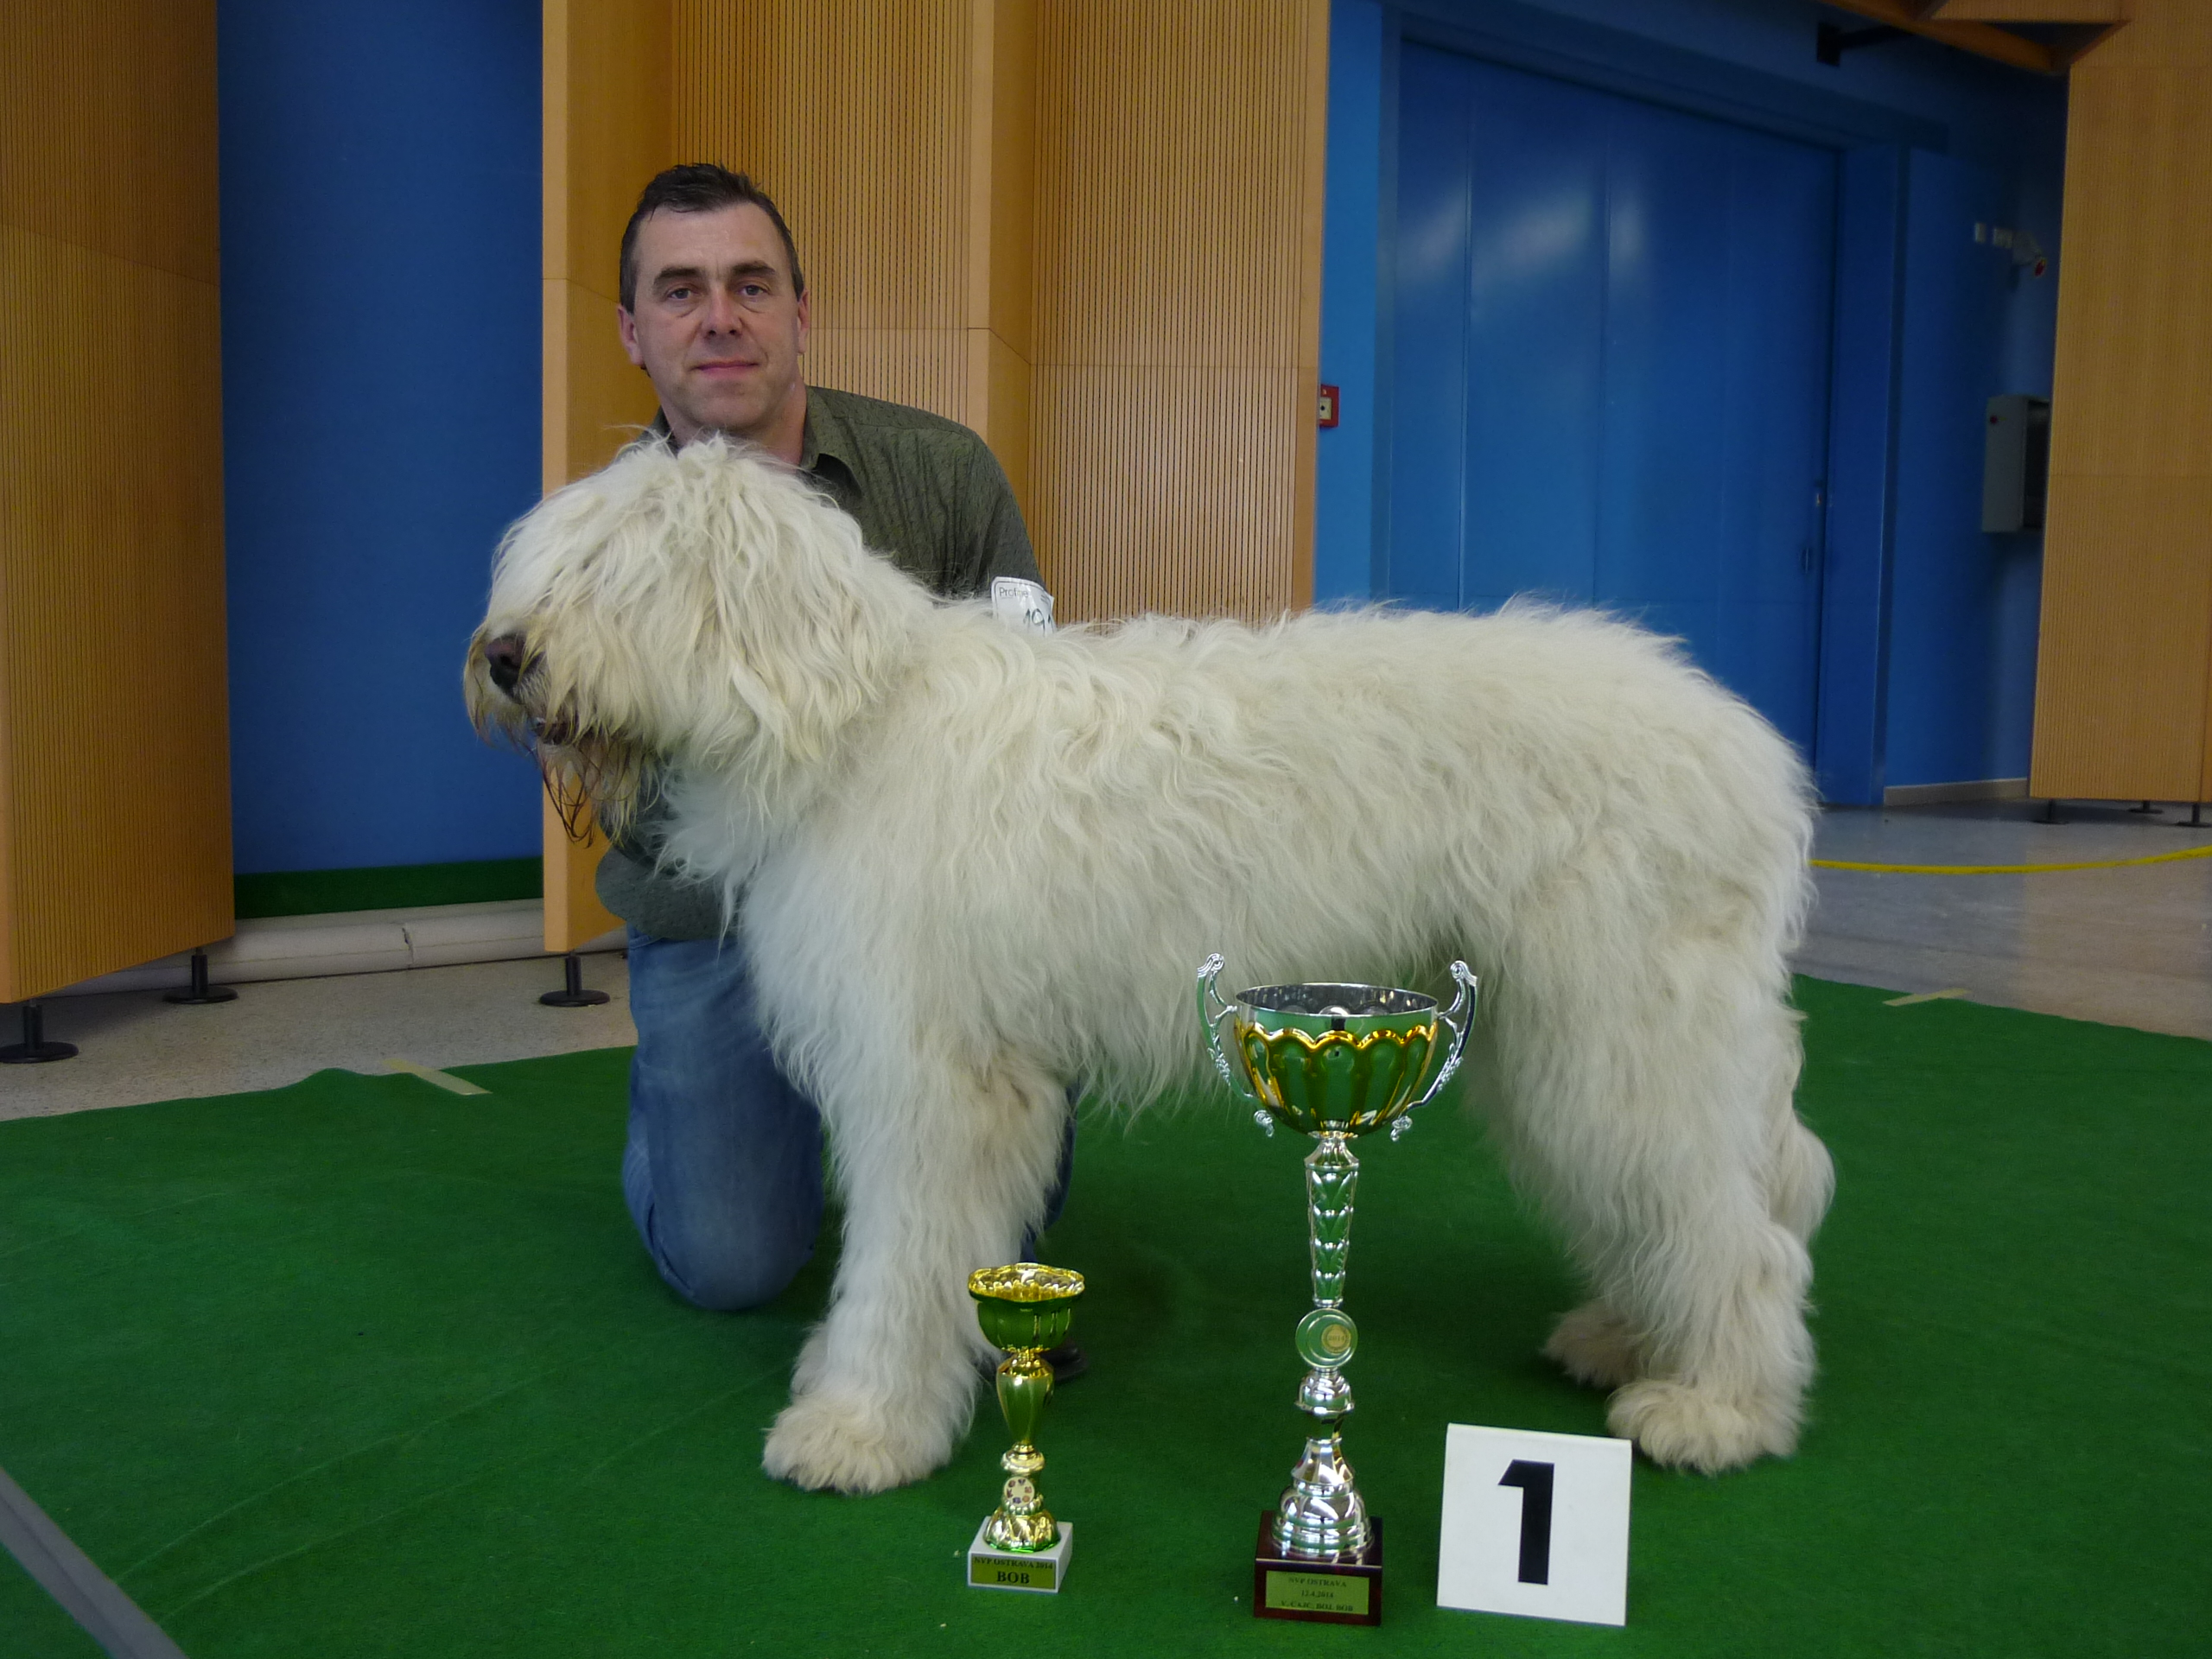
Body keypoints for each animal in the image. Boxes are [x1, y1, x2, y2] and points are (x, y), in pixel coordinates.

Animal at [466, 436, 1834, 1494]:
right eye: (551, 561)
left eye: (622, 570)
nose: (504, 655)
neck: (849, 720)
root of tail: (1747, 745)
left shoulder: (933, 1078)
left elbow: (900, 1262)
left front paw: (859, 1427)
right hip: (1560, 1037)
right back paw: (1630, 1338)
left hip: (1625, 1022)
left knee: (1736, 1228)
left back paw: (1718, 1407)